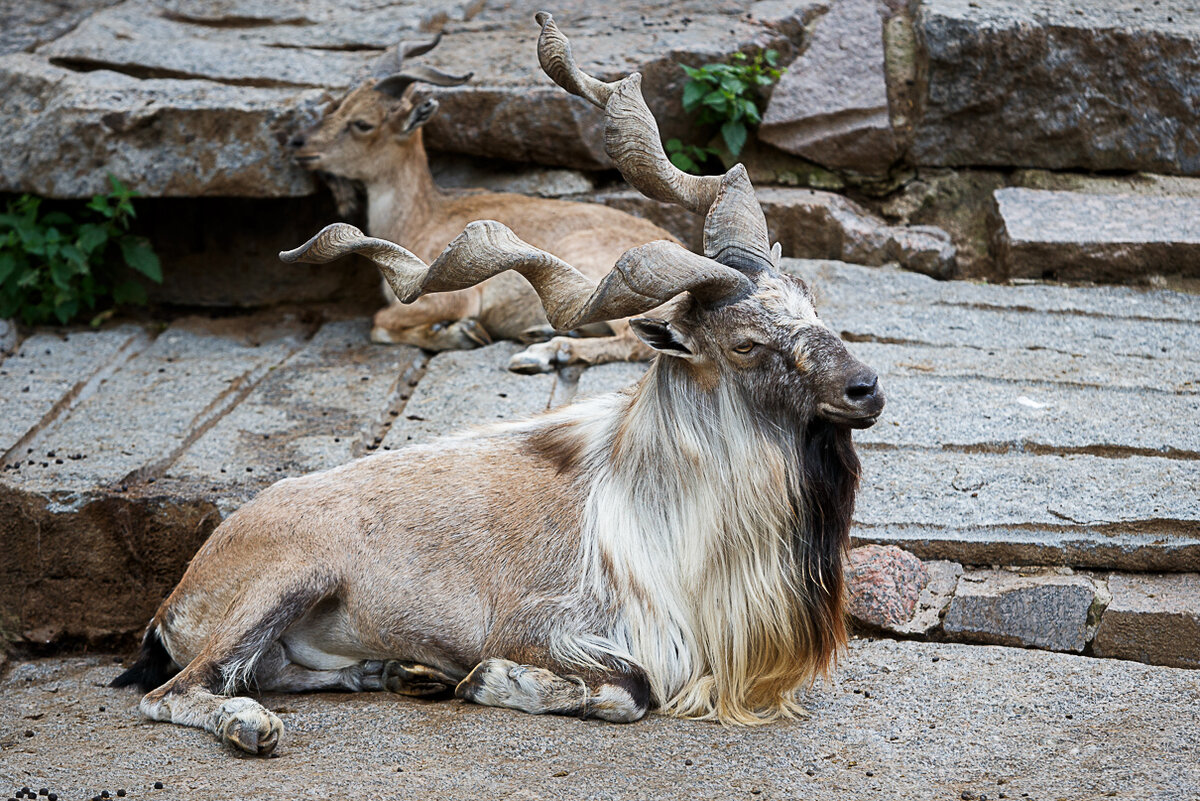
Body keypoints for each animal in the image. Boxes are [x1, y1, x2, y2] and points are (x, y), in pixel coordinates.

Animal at [112, 14, 883, 757]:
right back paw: (255, 725)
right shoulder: (545, 625)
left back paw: (397, 672)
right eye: (745, 343)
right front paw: (489, 680)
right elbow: (631, 690)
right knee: (177, 690)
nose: (865, 389)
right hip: (286, 580)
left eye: (811, 304)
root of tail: (183, 591)